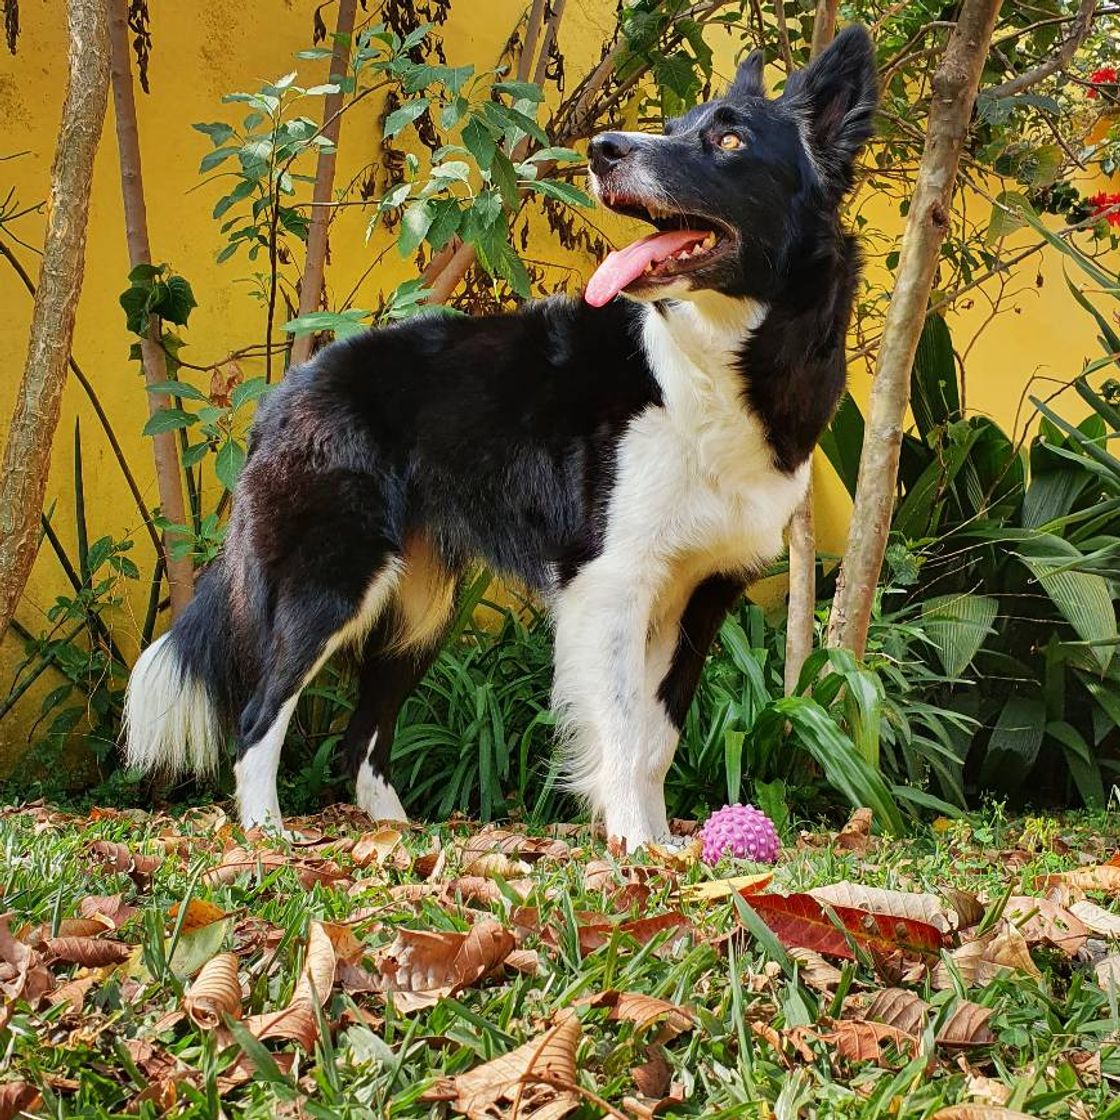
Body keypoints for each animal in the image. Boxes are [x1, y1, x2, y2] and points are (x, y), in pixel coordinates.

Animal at [122, 28, 873, 846]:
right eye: (672, 128)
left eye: (729, 139)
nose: (602, 150)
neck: (713, 364)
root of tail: (289, 388)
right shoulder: (611, 581)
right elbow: (622, 729)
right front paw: (635, 845)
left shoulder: (703, 592)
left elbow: (659, 735)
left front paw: (666, 845)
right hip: (331, 578)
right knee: (261, 713)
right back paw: (269, 835)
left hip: (421, 608)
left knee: (360, 739)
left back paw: (399, 840)